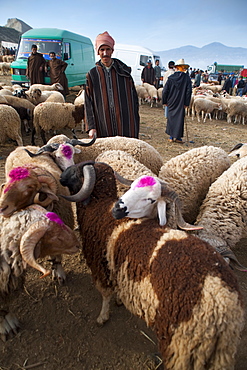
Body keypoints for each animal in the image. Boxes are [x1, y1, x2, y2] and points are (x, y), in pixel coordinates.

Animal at [58, 162, 244, 370]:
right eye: (130, 187)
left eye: (75, 172)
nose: (61, 177)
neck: (99, 205)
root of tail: (222, 299)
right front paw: (119, 300)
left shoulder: (98, 261)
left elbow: (105, 293)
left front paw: (102, 317)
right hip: (217, 352)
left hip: (182, 345)